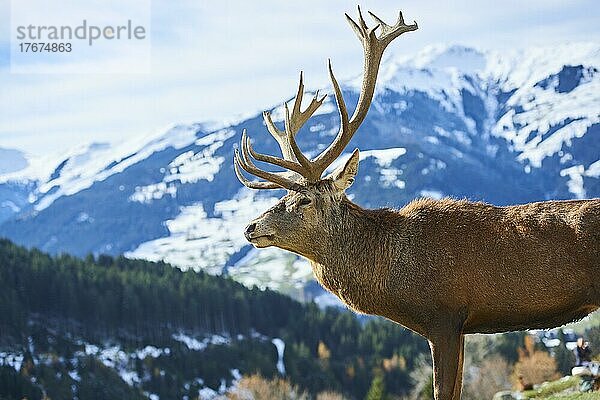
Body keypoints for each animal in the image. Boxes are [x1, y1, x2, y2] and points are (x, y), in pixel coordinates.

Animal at [232, 7, 596, 400]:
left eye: (303, 200)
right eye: (282, 196)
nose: (251, 227)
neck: (388, 273)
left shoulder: (444, 317)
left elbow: (443, 391)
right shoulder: (461, 326)